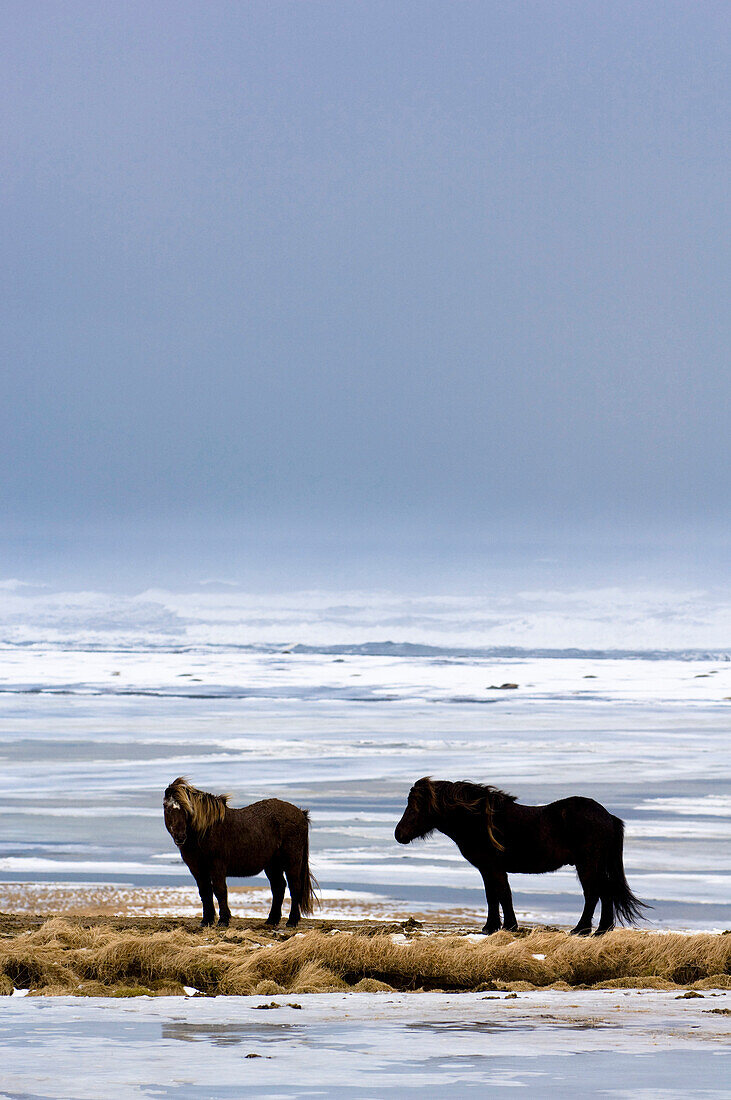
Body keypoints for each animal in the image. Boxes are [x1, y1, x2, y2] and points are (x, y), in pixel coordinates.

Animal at [164, 774, 316, 928]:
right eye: (167, 807)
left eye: (187, 809)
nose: (180, 837)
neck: (205, 832)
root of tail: (301, 813)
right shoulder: (197, 869)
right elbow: (205, 892)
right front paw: (206, 921)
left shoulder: (217, 867)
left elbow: (220, 891)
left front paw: (223, 920)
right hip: (272, 865)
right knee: (278, 887)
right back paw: (272, 920)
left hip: (292, 861)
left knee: (294, 887)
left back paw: (292, 921)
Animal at [393, 774, 646, 937]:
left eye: (415, 807)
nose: (399, 834)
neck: (480, 822)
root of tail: (608, 816)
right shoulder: (487, 869)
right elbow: (494, 896)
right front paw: (493, 927)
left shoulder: (493, 867)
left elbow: (502, 895)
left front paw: (506, 927)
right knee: (605, 893)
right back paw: (601, 930)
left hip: (587, 865)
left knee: (594, 894)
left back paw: (582, 930)